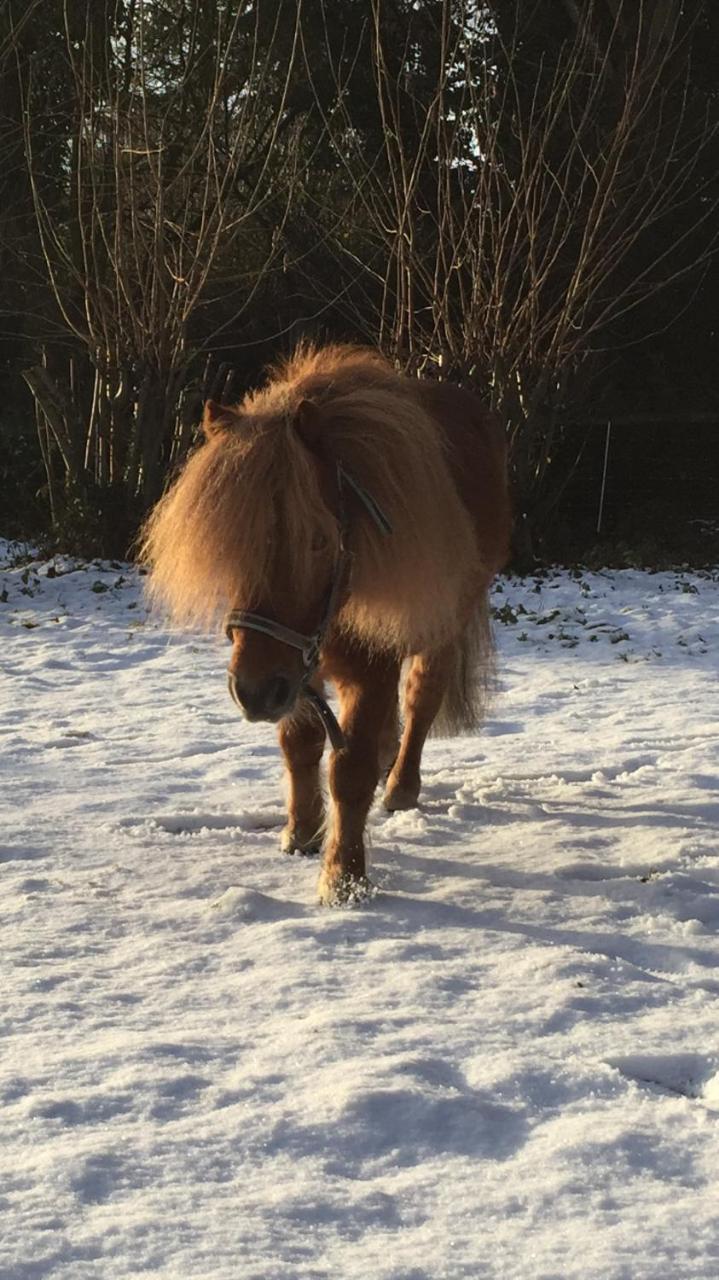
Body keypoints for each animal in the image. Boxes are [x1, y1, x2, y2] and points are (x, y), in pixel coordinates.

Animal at [140, 345, 509, 906]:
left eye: (317, 540)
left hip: (441, 628)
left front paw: (343, 877)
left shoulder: (359, 669)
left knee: (421, 701)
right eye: (233, 545)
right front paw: (301, 831)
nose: (251, 693)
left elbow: (350, 773)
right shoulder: (293, 668)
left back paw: (401, 787)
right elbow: (300, 746)